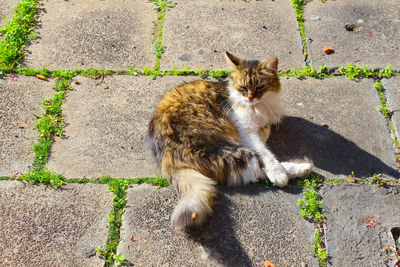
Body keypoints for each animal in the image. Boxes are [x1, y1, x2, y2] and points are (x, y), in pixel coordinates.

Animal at [147, 52, 312, 230]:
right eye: (243, 88)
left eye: (260, 87)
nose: (250, 98)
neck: (257, 106)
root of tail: (165, 160)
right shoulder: (246, 130)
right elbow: (265, 154)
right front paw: (277, 172)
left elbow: (265, 139)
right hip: (226, 150)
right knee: (256, 170)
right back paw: (297, 170)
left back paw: (304, 168)